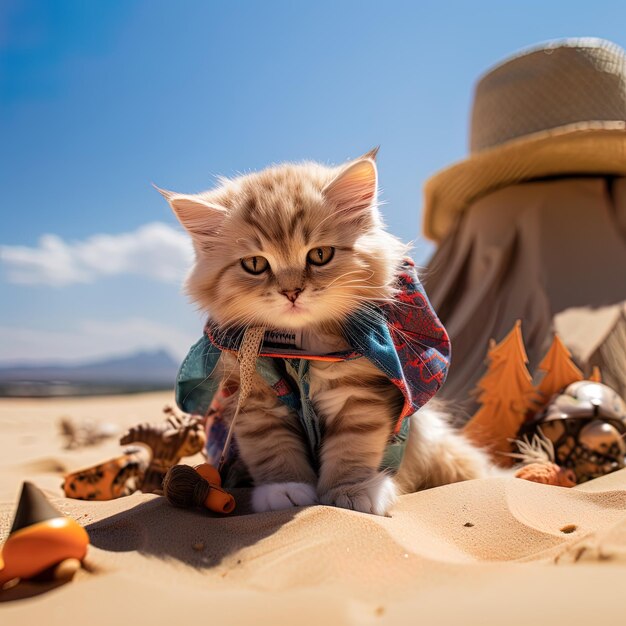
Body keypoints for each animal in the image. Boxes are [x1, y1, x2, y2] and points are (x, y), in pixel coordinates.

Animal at [161, 150, 492, 512]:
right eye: (255, 264)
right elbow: (273, 450)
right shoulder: (256, 400)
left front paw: (351, 491)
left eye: (320, 255)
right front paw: (285, 491)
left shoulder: (360, 397)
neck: (300, 352)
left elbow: (352, 449)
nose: (291, 292)